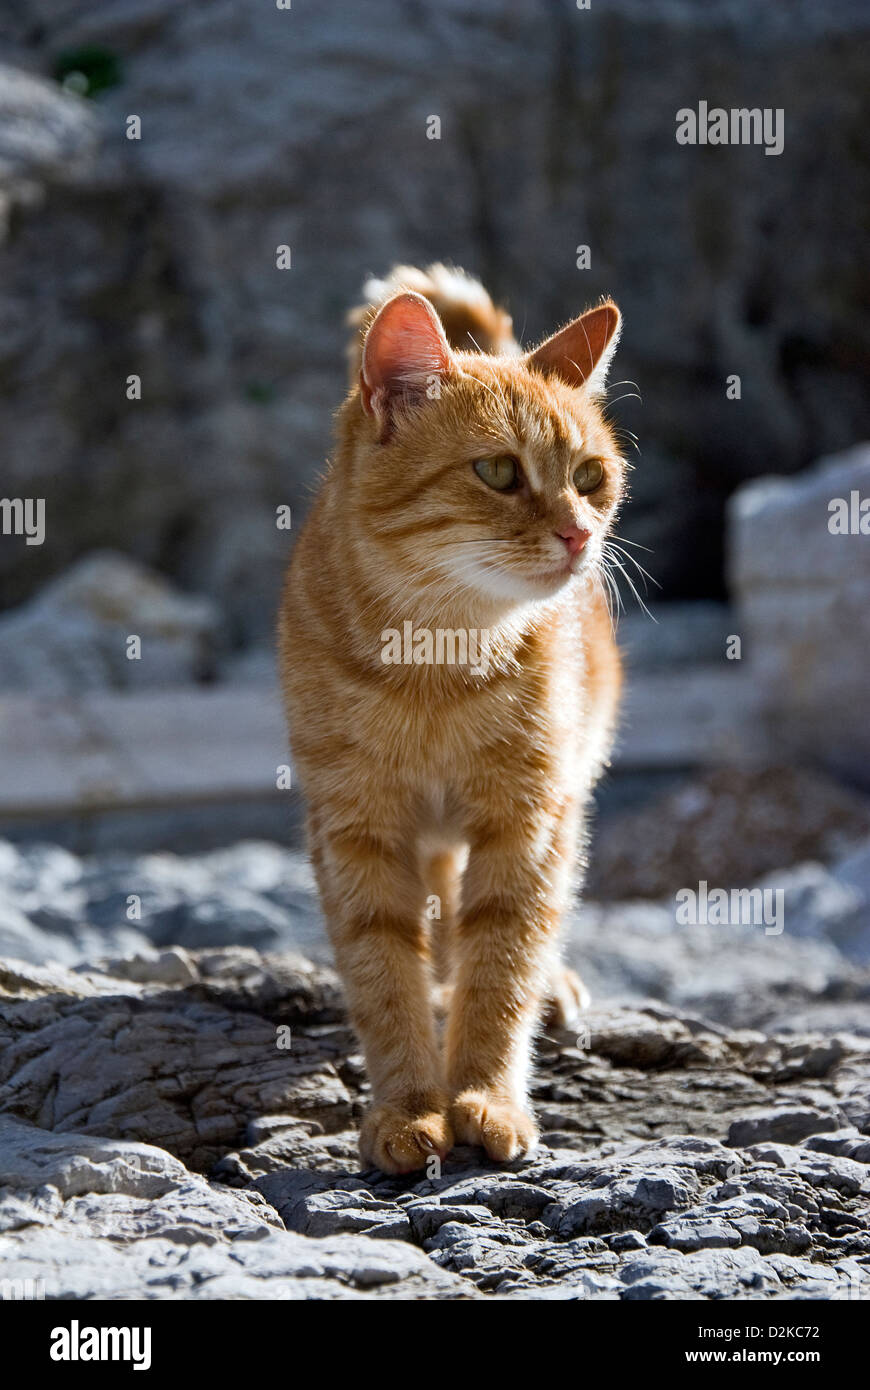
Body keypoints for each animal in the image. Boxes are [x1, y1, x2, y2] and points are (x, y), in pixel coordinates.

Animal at [277, 262, 622, 1173]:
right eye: (499, 472)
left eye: (590, 477)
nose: (579, 535)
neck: (435, 668)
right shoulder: (355, 828)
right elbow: (383, 970)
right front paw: (407, 1107)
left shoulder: (528, 820)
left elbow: (503, 962)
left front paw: (486, 1097)